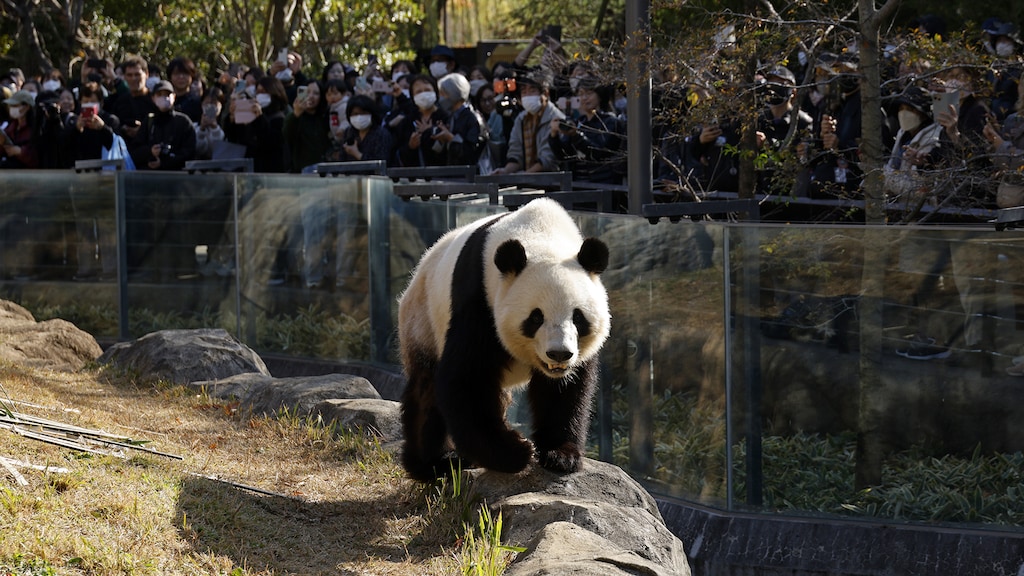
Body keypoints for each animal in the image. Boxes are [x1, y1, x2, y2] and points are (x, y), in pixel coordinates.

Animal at [398, 198, 611, 483]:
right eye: (536, 317)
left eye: (577, 317)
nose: (559, 354)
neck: (542, 235)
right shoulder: (479, 300)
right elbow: (467, 380)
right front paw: (515, 451)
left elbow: (565, 391)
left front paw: (560, 455)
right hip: (424, 319)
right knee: (427, 389)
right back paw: (437, 463)